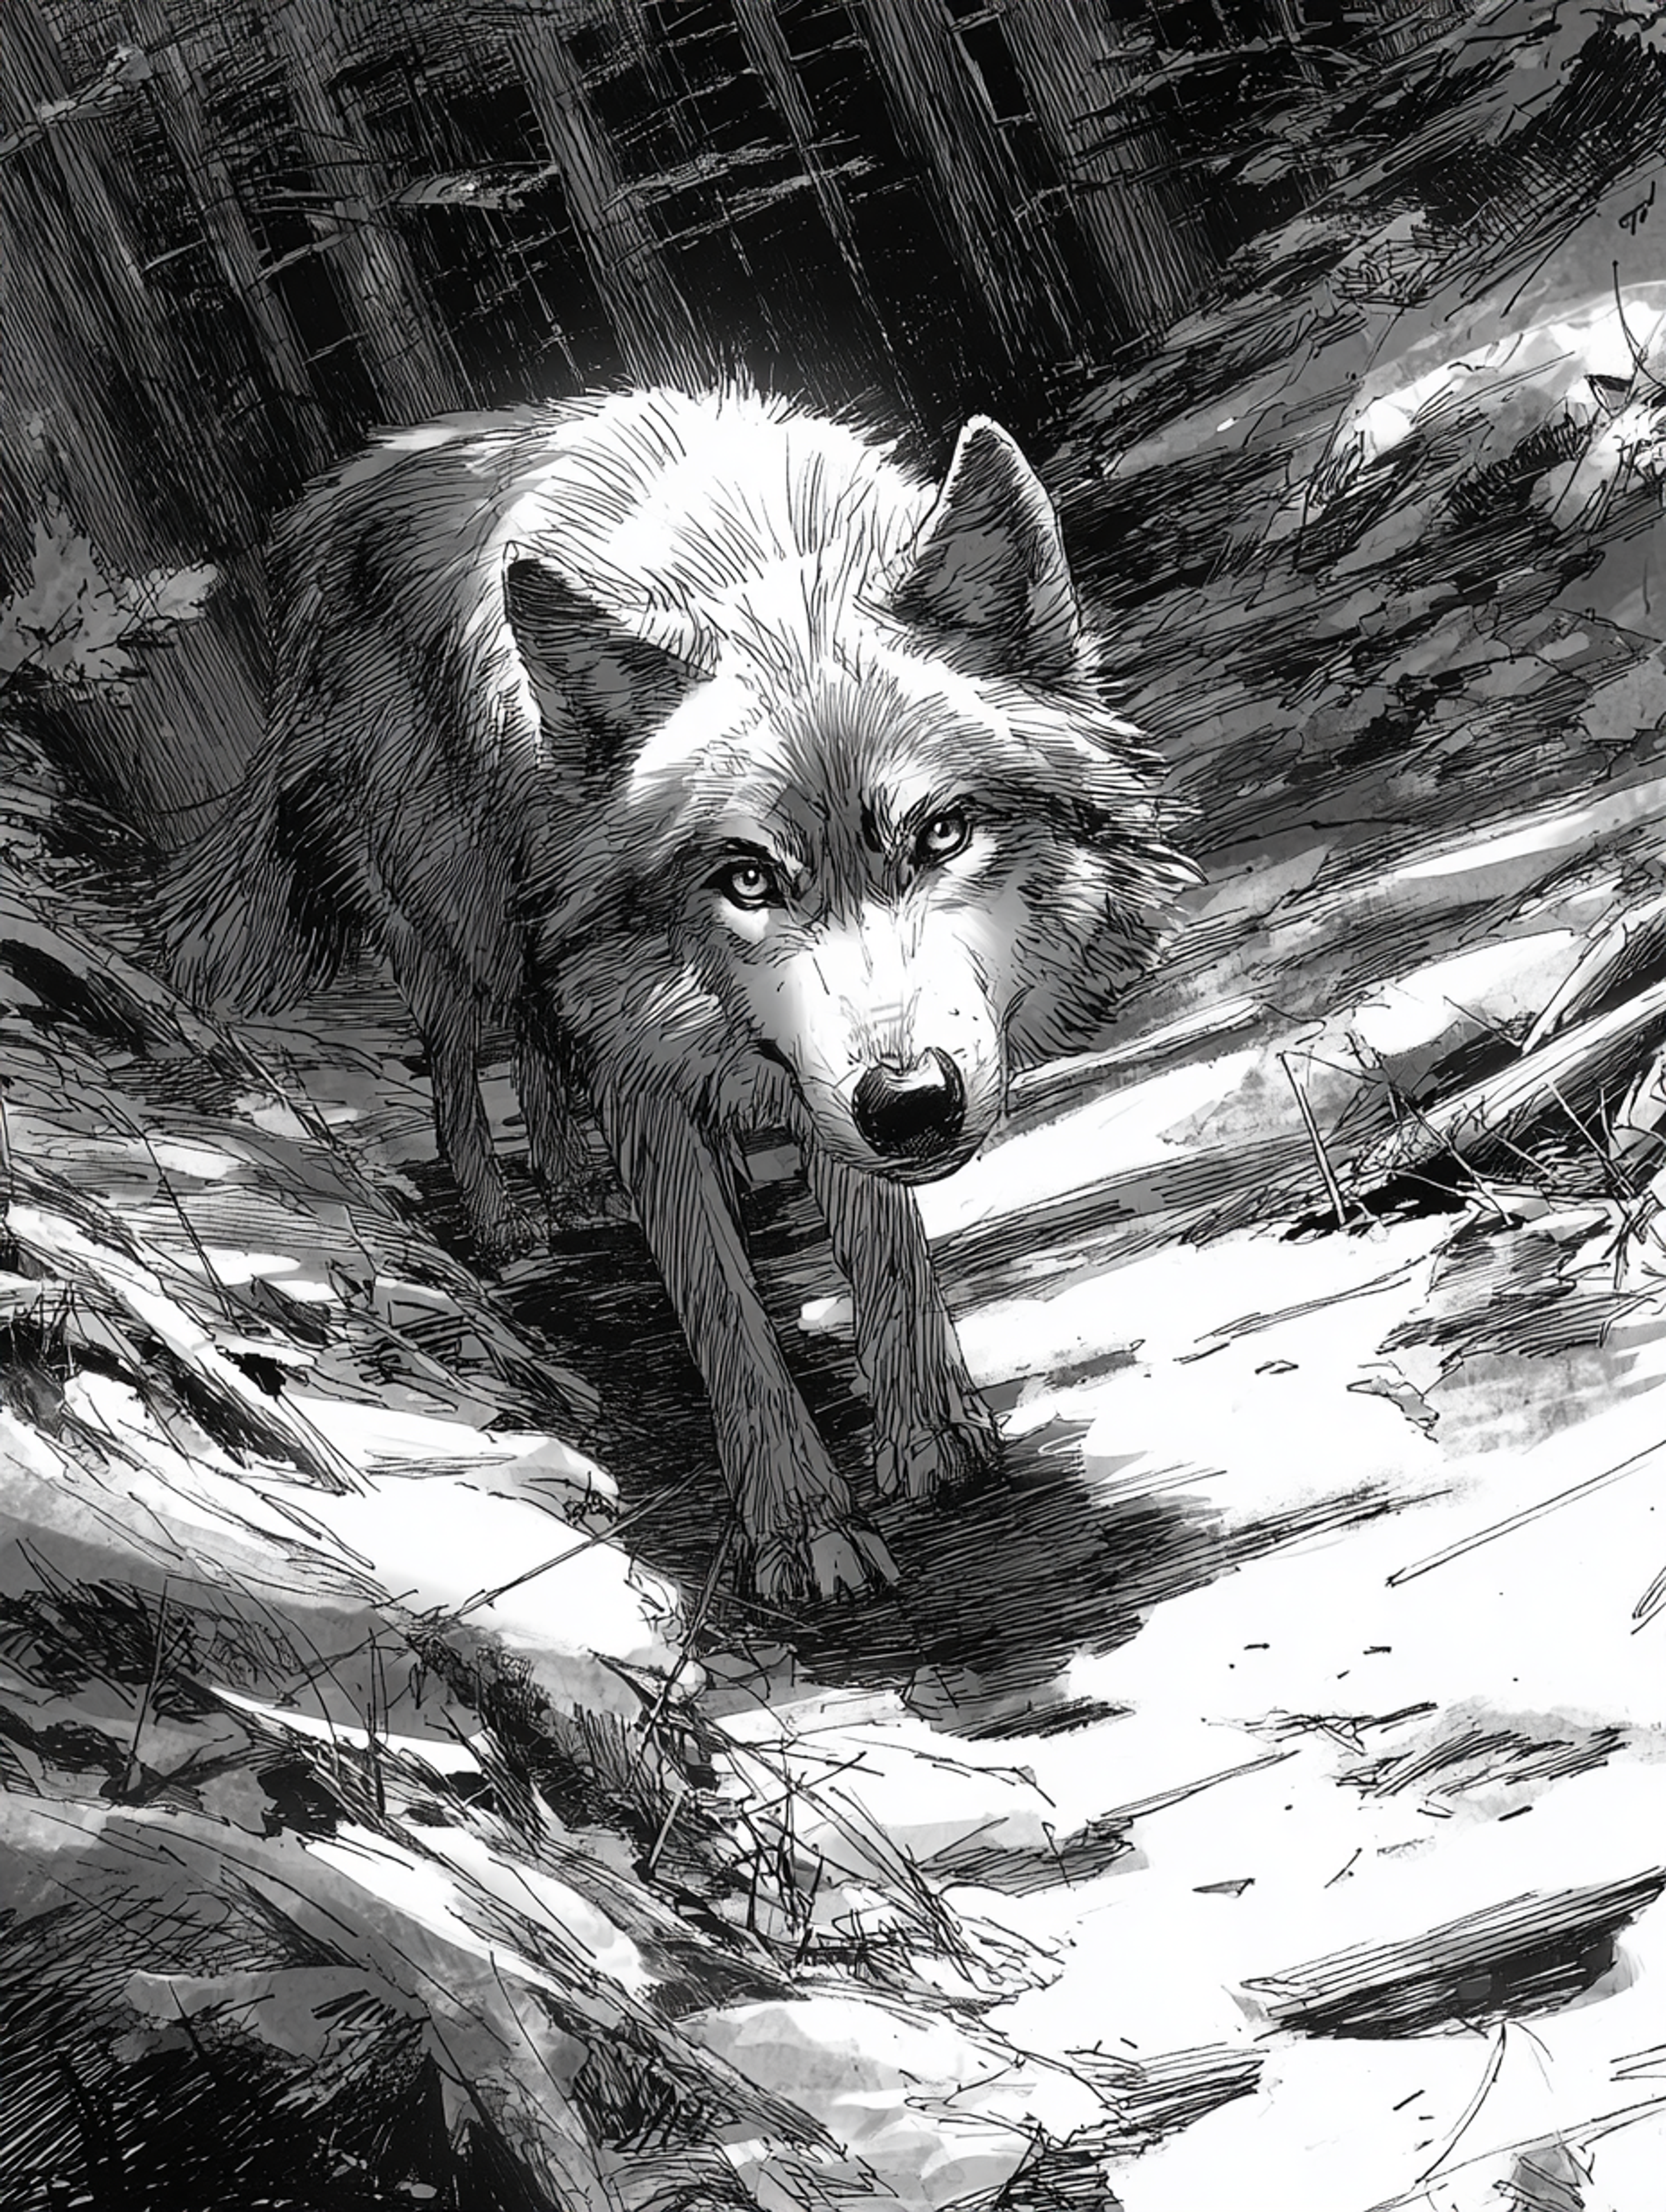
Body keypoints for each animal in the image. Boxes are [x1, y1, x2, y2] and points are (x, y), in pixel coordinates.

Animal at [168, 385, 1194, 1602]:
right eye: (746, 878)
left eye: (941, 833)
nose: (910, 1104)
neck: (750, 554)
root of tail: (342, 491)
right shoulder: (648, 1070)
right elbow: (721, 1313)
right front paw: (800, 1529)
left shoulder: (814, 1081)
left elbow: (882, 1245)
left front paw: (929, 1433)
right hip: (456, 929)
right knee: (460, 1062)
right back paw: (511, 1220)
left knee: (541, 1047)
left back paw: (582, 1186)